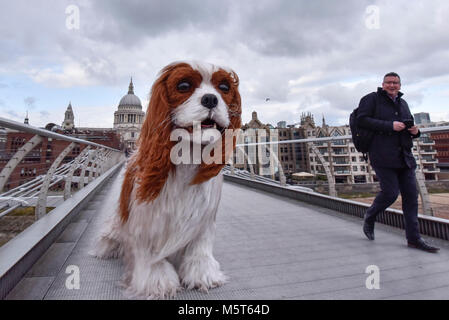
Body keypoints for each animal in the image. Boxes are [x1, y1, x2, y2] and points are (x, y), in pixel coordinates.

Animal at [92, 61, 242, 298]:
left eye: (224, 87)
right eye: (183, 85)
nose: (211, 99)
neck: (188, 156)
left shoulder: (204, 216)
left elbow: (200, 247)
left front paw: (202, 275)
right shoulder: (147, 218)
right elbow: (150, 252)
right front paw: (157, 281)